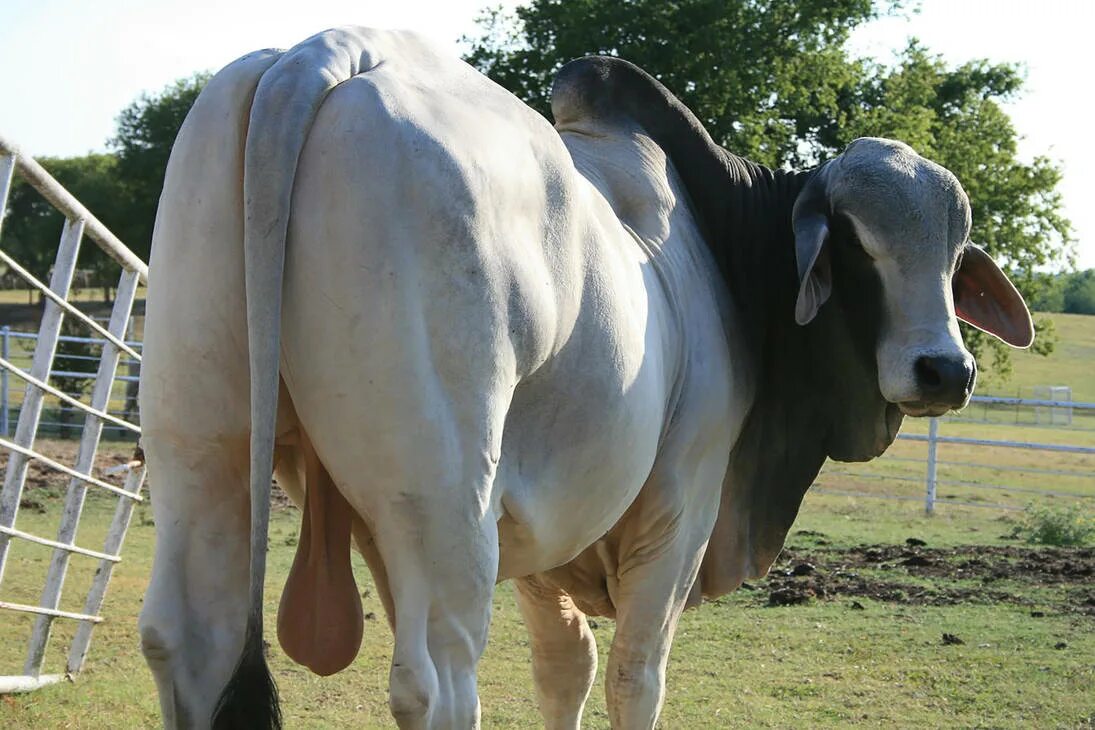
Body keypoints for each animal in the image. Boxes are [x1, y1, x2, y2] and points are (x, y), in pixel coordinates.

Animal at [134, 25, 1024, 730]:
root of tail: (324, 52)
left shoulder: (535, 533)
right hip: (439, 501)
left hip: (202, 451)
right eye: (856, 241)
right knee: (437, 685)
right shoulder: (679, 508)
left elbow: (565, 670)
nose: (944, 369)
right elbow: (634, 677)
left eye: (954, 253)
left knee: (187, 643)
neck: (724, 246)